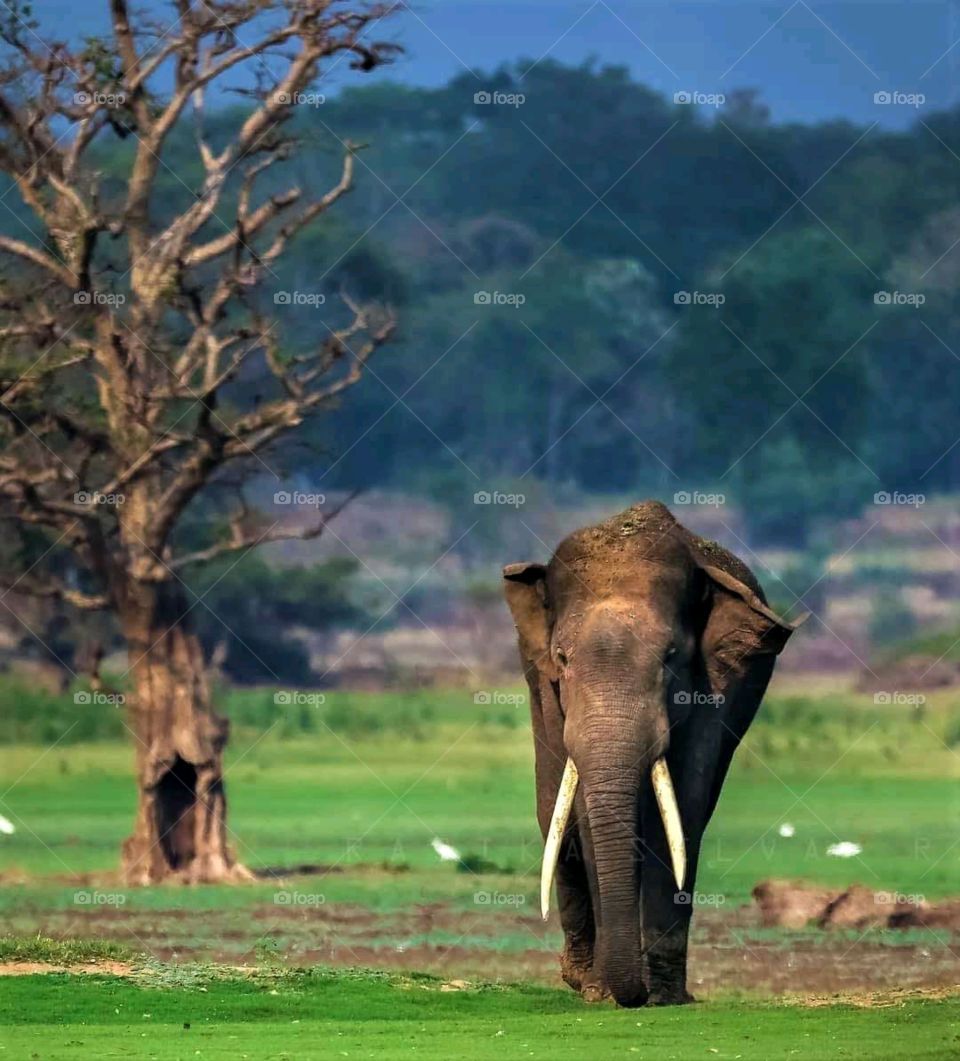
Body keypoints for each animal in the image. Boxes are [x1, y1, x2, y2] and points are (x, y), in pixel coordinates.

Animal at [502, 501, 804, 1007]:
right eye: (561, 658)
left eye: (670, 657)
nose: (633, 994)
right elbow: (583, 814)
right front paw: (602, 993)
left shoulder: (718, 683)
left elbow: (684, 804)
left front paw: (662, 996)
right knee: (553, 820)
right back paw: (577, 976)